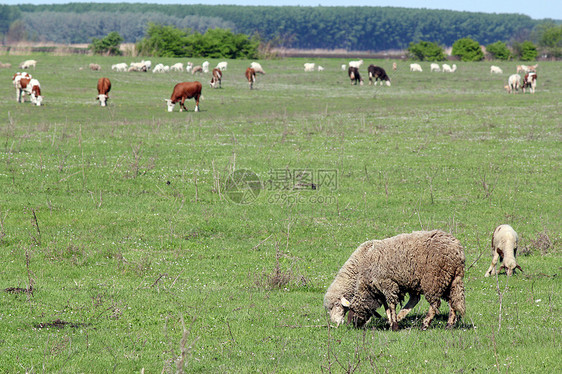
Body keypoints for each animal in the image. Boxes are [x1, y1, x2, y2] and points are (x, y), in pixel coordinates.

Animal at [324, 231, 464, 330]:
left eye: (337, 305)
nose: (337, 323)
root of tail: (457, 250)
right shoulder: (381, 287)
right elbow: (386, 305)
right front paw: (391, 320)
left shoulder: (387, 283)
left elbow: (390, 304)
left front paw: (394, 324)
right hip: (448, 280)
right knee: (451, 301)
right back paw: (449, 324)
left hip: (434, 279)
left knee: (434, 304)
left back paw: (425, 324)